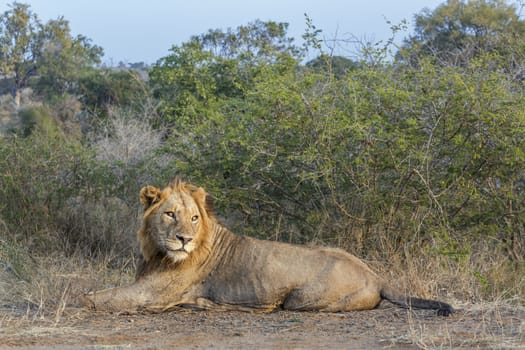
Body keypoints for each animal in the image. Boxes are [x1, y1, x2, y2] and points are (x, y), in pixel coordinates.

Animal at [80, 176, 452, 316]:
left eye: (194, 218)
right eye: (170, 214)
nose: (184, 239)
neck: (157, 252)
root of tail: (377, 276)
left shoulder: (151, 293)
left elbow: (90, 298)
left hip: (300, 299)